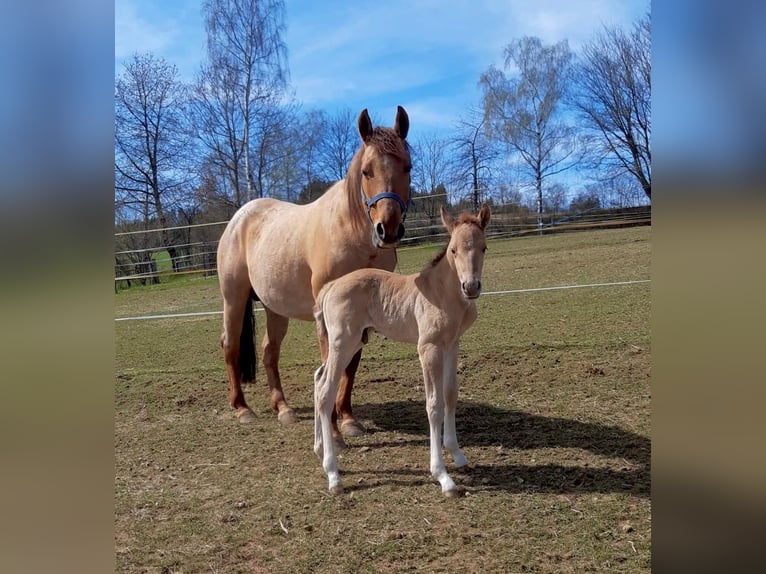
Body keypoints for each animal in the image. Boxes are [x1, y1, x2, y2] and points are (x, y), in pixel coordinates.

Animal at [216, 106, 412, 442]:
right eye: (366, 171)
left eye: (407, 167)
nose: (387, 229)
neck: (353, 236)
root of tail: (239, 218)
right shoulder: (327, 316)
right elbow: (329, 363)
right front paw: (332, 428)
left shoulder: (362, 315)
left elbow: (351, 364)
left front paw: (348, 419)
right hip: (235, 299)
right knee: (231, 345)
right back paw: (242, 409)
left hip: (275, 308)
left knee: (269, 351)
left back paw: (283, 409)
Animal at [313, 204, 491, 496]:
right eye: (453, 250)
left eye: (484, 247)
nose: (471, 287)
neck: (442, 293)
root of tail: (329, 288)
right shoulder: (428, 348)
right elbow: (434, 405)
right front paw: (443, 476)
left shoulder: (452, 344)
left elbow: (450, 395)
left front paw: (457, 454)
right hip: (342, 342)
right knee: (326, 391)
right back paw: (333, 474)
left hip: (351, 343)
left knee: (318, 380)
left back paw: (318, 449)